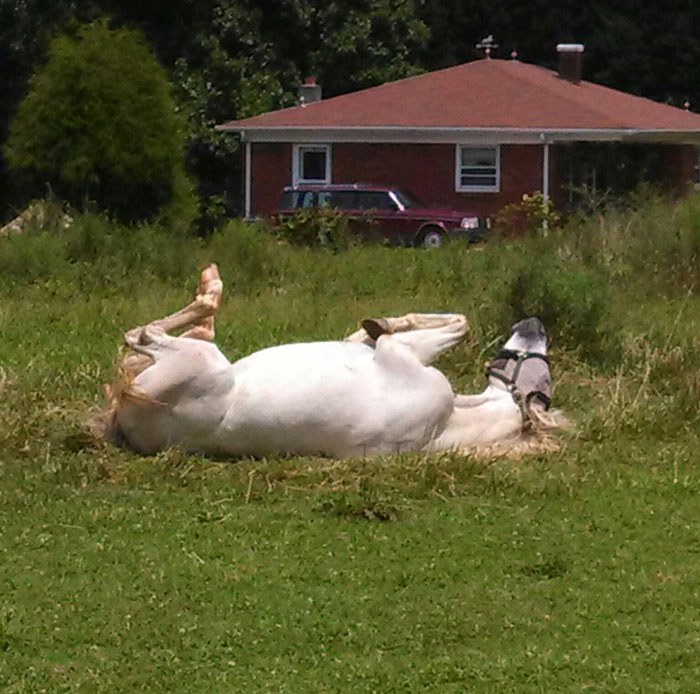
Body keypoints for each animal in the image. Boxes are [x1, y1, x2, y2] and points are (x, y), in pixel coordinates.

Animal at [102, 266, 564, 456]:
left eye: (544, 378)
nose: (535, 322)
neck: (445, 425)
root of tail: (125, 423)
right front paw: (372, 326)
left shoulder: (401, 356)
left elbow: (456, 324)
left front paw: (380, 324)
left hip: (202, 361)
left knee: (142, 334)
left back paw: (209, 287)